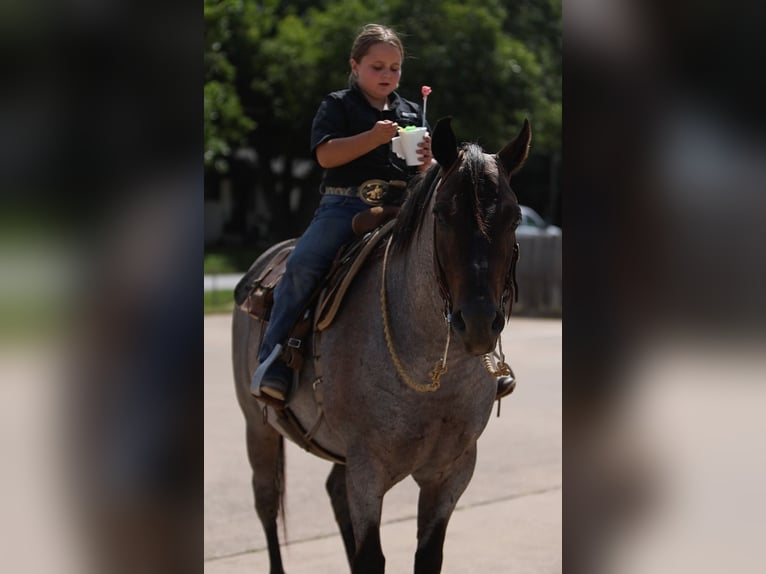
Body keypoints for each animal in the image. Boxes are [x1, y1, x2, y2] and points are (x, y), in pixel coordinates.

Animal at [234, 118, 532, 574]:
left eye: (514, 218)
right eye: (443, 214)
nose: (480, 321)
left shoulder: (452, 472)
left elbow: (426, 556)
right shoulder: (367, 470)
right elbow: (371, 557)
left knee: (333, 492)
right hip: (258, 427)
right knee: (266, 503)